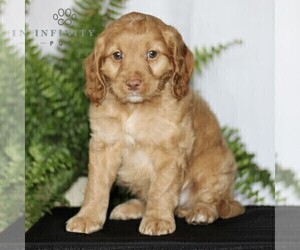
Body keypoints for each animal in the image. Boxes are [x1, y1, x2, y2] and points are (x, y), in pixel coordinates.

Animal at [65, 11, 244, 235]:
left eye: (152, 54)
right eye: (117, 55)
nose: (133, 83)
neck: (135, 109)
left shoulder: (171, 150)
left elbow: (162, 187)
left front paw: (158, 219)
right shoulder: (103, 145)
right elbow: (95, 186)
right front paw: (86, 217)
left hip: (215, 165)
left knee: (215, 200)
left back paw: (201, 211)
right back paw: (131, 208)